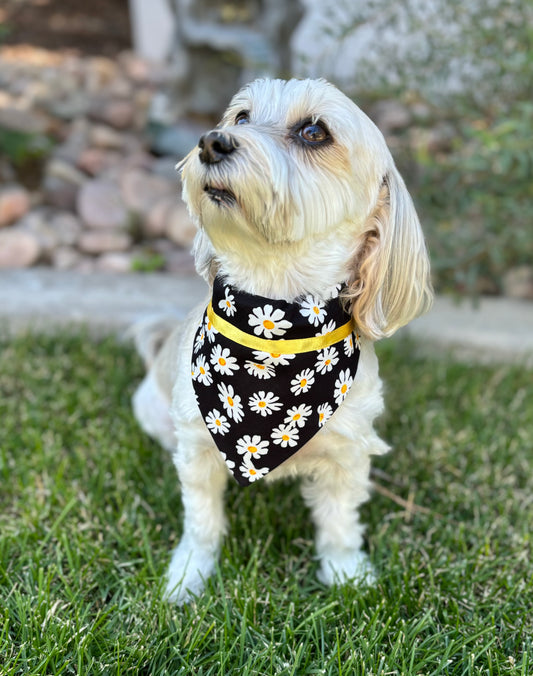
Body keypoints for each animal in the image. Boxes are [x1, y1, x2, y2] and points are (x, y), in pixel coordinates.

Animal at [133, 78, 432, 604]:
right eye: (241, 118)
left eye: (314, 131)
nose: (211, 141)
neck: (273, 331)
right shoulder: (197, 451)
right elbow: (201, 522)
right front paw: (189, 575)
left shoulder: (347, 455)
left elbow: (339, 524)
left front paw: (346, 572)